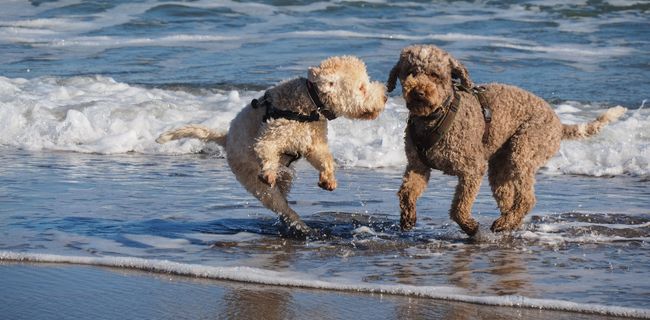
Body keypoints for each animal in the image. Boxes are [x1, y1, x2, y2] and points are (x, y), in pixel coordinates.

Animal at [157, 56, 384, 238]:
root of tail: (226, 137)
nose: (384, 96)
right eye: (362, 87)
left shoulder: (314, 145)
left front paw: (328, 179)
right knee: (279, 204)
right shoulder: (269, 136)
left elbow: (325, 160)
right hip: (254, 183)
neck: (309, 103)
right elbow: (266, 150)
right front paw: (268, 172)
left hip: (285, 179)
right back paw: (301, 225)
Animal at [384, 44, 624, 235]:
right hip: (501, 165)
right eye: (410, 73)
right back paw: (508, 222)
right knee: (508, 195)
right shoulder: (417, 166)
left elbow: (459, 206)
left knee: (527, 198)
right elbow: (406, 192)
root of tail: (558, 123)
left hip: (524, 149)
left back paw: (505, 222)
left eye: (435, 75)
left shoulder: (472, 169)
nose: (418, 92)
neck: (435, 117)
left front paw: (469, 226)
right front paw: (408, 218)